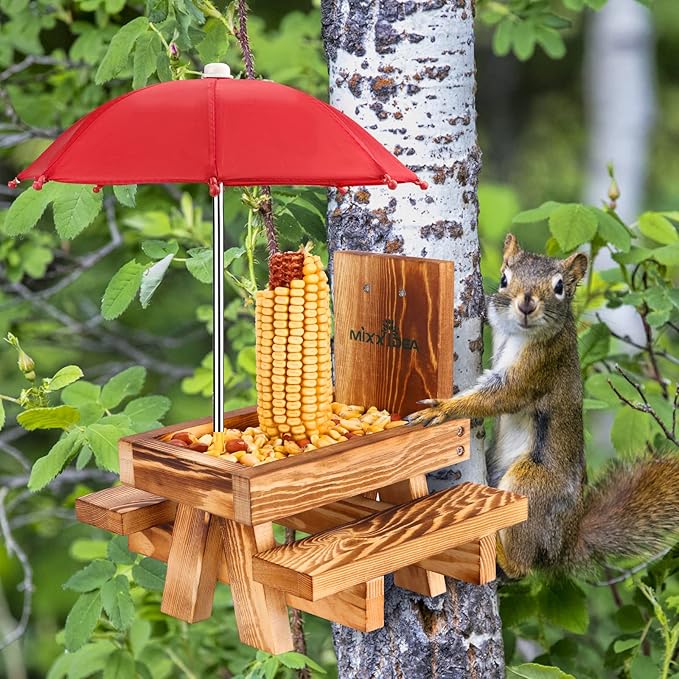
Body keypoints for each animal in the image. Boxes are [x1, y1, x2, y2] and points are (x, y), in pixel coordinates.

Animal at [407, 233, 679, 579]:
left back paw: (503, 554)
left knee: (522, 567)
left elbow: (503, 395)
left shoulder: (541, 363)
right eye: (505, 279)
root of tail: (564, 545)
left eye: (560, 286)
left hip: (532, 484)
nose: (526, 304)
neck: (518, 332)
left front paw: (442, 410)